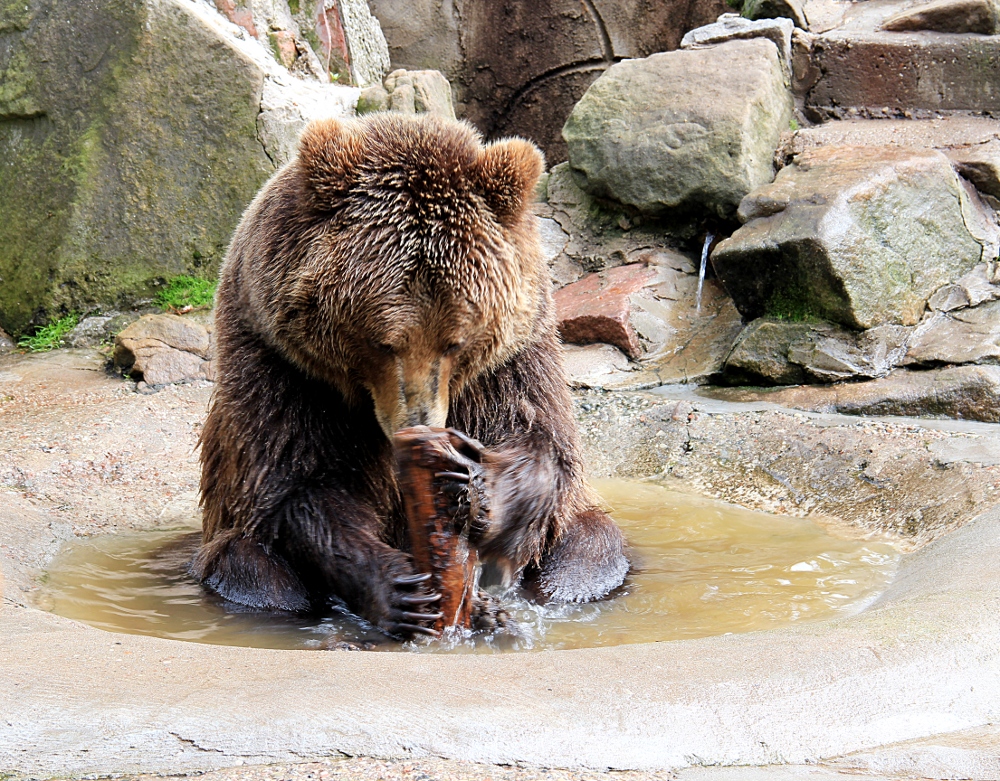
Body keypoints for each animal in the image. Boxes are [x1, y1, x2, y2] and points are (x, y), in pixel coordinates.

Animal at [192, 112, 628, 636]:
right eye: (383, 341)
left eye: (455, 340)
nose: (419, 422)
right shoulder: (280, 364)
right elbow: (299, 482)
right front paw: (400, 591)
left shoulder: (514, 358)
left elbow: (539, 440)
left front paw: (477, 487)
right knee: (255, 571)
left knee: (590, 549)